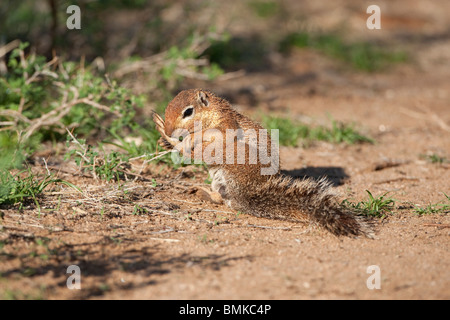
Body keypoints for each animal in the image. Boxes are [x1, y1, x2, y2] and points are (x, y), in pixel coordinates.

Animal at [151, 87, 372, 238]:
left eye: (188, 112)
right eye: (168, 106)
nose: (170, 129)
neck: (213, 110)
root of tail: (248, 191)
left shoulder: (226, 123)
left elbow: (212, 134)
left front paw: (185, 138)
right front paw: (165, 137)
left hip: (235, 153)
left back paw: (178, 145)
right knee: (222, 198)